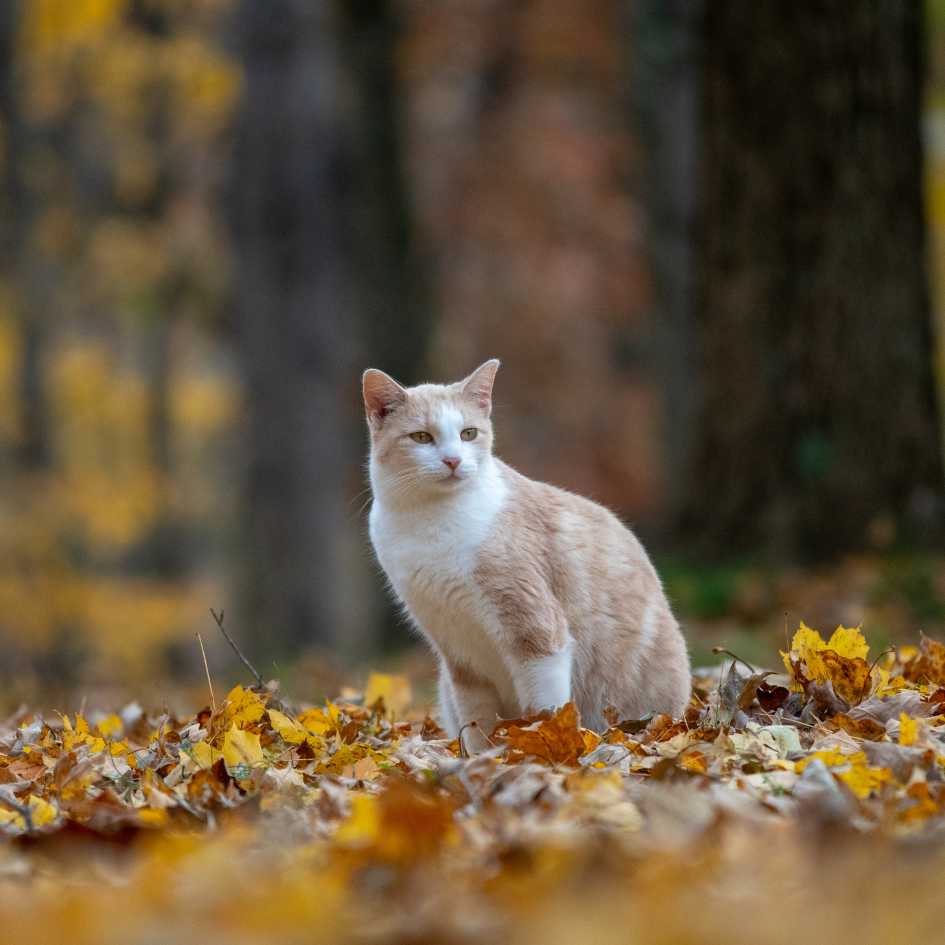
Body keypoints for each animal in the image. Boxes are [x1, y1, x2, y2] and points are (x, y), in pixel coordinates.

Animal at [362, 358, 684, 748]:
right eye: (421, 437)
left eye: (468, 433)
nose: (453, 461)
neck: (427, 519)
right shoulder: (458, 653)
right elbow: (476, 723)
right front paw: (483, 758)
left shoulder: (537, 631)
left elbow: (545, 711)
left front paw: (542, 749)